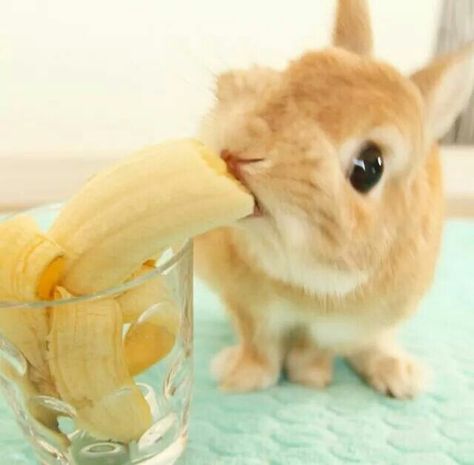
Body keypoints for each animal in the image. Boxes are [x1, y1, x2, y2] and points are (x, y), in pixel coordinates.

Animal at [193, 0, 474, 398]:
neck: (297, 279)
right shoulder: (248, 305)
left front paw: (309, 379)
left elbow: (315, 349)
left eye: (369, 166)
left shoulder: (341, 325)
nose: (241, 149)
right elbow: (258, 342)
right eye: (292, 71)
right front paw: (242, 378)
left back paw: (401, 377)